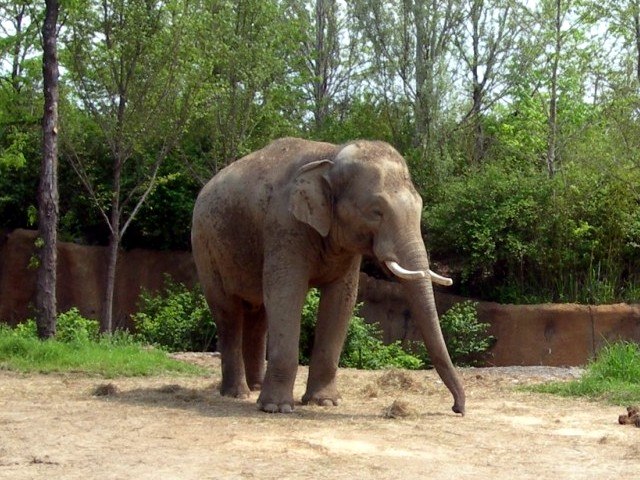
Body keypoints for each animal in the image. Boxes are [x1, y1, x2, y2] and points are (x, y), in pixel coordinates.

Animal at [191, 137, 465, 415]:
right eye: (376, 211)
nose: (456, 409)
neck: (330, 155)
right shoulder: (284, 225)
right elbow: (286, 294)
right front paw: (277, 408)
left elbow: (341, 299)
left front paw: (324, 402)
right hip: (205, 248)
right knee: (228, 312)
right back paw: (237, 394)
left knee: (259, 316)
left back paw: (255, 388)